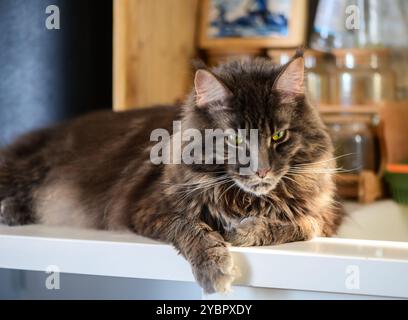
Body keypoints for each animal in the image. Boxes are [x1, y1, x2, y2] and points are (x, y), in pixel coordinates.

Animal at [0, 52, 344, 292]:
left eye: (278, 136)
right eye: (235, 139)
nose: (261, 171)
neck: (243, 199)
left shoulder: (324, 216)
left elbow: (295, 224)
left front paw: (244, 231)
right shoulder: (150, 208)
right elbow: (193, 229)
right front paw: (215, 267)